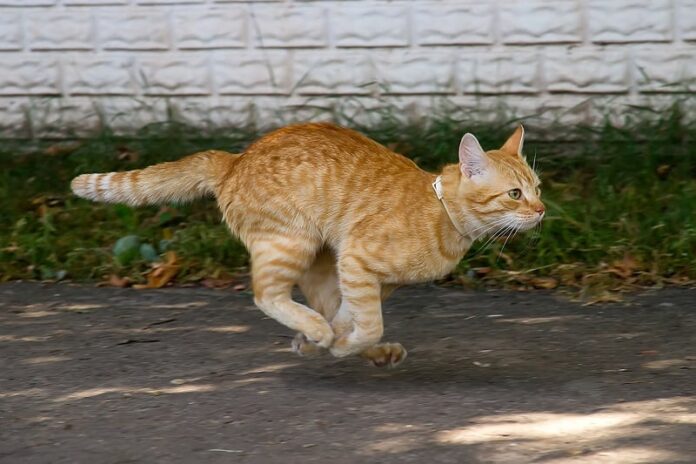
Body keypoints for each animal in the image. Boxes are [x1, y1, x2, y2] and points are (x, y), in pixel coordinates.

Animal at [70, 122, 540, 366]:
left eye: (537, 188)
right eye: (514, 194)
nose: (540, 211)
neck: (442, 214)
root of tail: (235, 158)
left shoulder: (366, 278)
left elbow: (353, 317)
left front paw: (338, 344)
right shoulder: (357, 259)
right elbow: (367, 323)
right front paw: (339, 343)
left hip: (319, 260)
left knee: (320, 306)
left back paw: (340, 345)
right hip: (290, 243)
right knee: (267, 294)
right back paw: (318, 333)